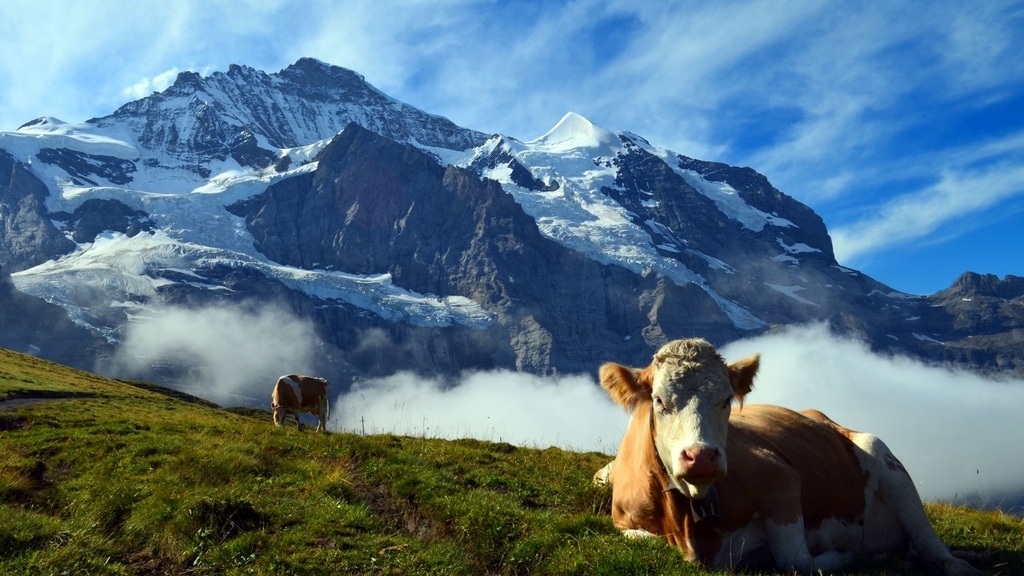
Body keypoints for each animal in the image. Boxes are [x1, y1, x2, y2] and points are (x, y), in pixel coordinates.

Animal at [598, 338, 978, 569]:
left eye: (725, 400)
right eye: (659, 400)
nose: (702, 456)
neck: (687, 527)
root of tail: (820, 415)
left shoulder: (780, 478)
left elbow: (797, 561)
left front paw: (843, 555)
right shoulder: (623, 522)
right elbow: (645, 540)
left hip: (886, 460)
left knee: (930, 543)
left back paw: (956, 566)